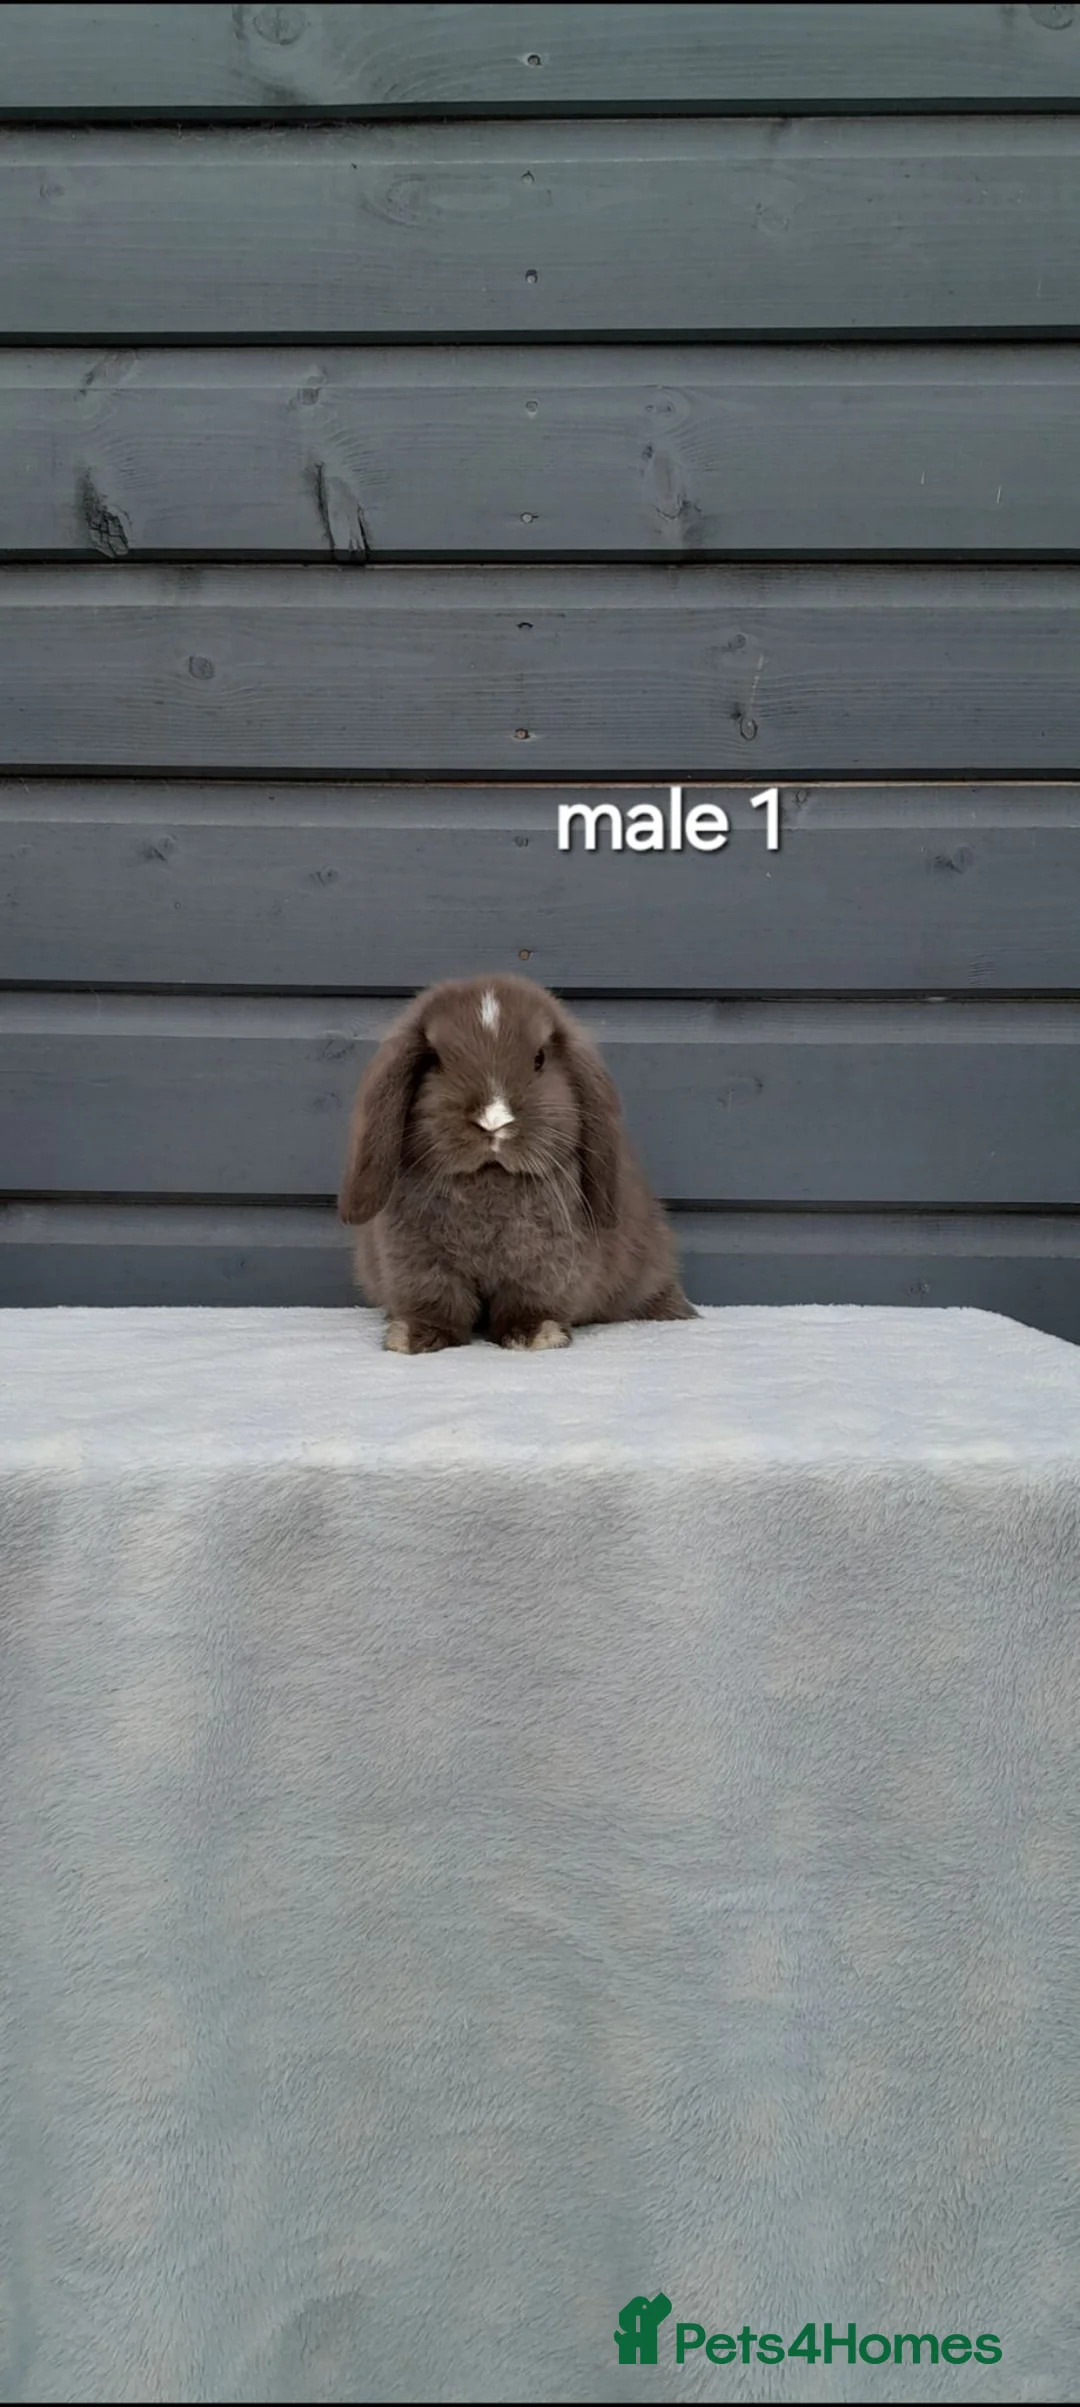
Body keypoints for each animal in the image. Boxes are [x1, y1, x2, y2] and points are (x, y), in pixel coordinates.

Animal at [338, 973, 695, 1353]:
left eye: (539, 1059)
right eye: (434, 1060)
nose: (494, 1120)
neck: (489, 1179)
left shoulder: (545, 1266)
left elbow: (529, 1302)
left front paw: (537, 1335)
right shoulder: (419, 1263)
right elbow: (437, 1302)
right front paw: (414, 1337)